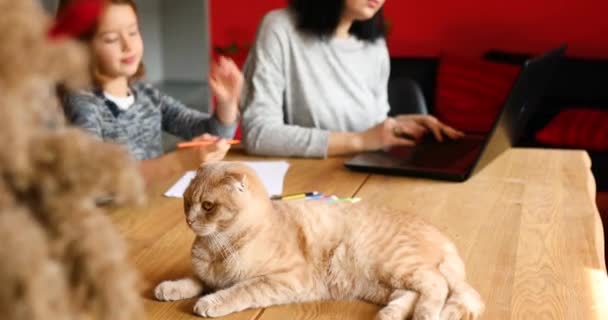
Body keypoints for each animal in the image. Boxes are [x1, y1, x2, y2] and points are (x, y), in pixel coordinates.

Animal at [156, 164, 484, 318]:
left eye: (208, 206)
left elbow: (239, 290)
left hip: (397, 265)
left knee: (436, 286)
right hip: (387, 284)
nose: (189, 220)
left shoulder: (284, 279)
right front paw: (170, 287)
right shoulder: (208, 276)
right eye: (186, 202)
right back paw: (389, 315)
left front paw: (209, 303)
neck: (215, 247)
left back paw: (425, 315)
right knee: (410, 294)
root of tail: (444, 239)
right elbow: (192, 280)